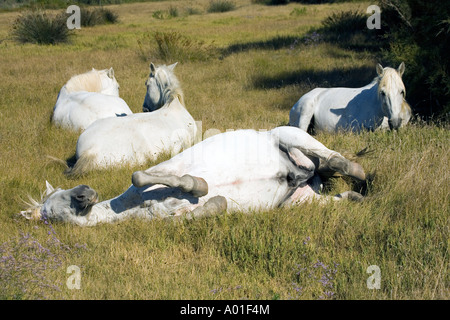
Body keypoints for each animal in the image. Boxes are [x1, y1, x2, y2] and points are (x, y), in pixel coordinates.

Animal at [21, 126, 366, 226]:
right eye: (50, 211)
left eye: (63, 194)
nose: (86, 193)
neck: (137, 206)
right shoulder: (171, 220)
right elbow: (210, 207)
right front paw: (210, 200)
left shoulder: (167, 170)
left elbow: (143, 176)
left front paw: (198, 185)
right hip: (302, 202)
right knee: (331, 185)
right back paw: (353, 195)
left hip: (291, 134)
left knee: (335, 161)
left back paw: (359, 177)